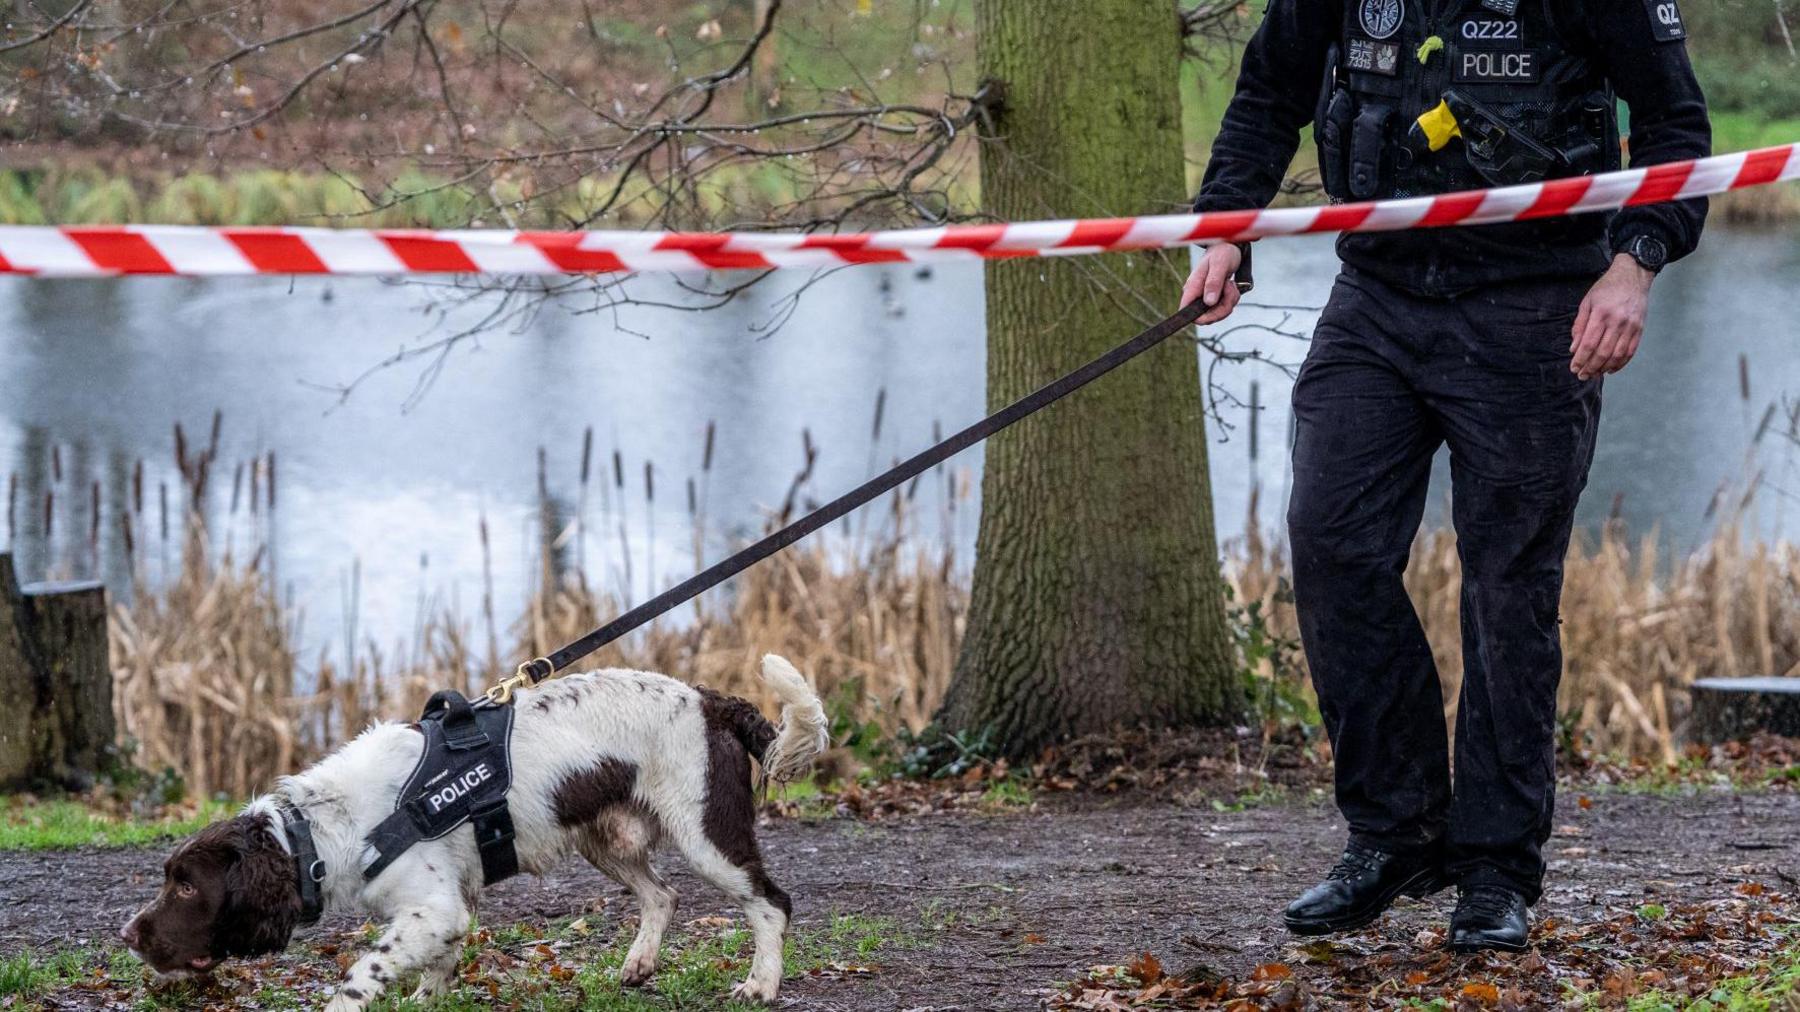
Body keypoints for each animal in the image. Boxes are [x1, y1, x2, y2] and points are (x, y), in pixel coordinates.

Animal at [116, 655, 831, 1001]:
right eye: (169, 878)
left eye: (186, 886)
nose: (127, 934)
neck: (328, 828)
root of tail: (711, 700)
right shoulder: (447, 910)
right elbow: (436, 970)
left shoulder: (433, 909)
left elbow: (364, 971)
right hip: (605, 837)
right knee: (664, 895)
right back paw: (637, 966)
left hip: (706, 835)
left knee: (770, 903)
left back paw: (762, 984)